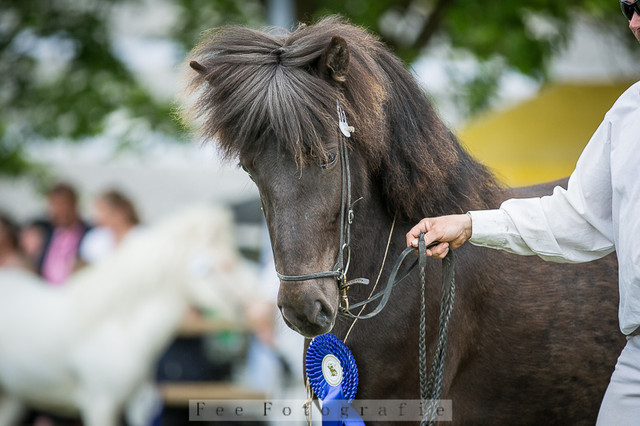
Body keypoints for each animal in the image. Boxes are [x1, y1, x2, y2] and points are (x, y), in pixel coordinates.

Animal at [0, 206, 258, 426]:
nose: (257, 302)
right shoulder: (99, 404)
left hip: (12, 398)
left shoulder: (137, 406)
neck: (119, 327)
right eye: (226, 264)